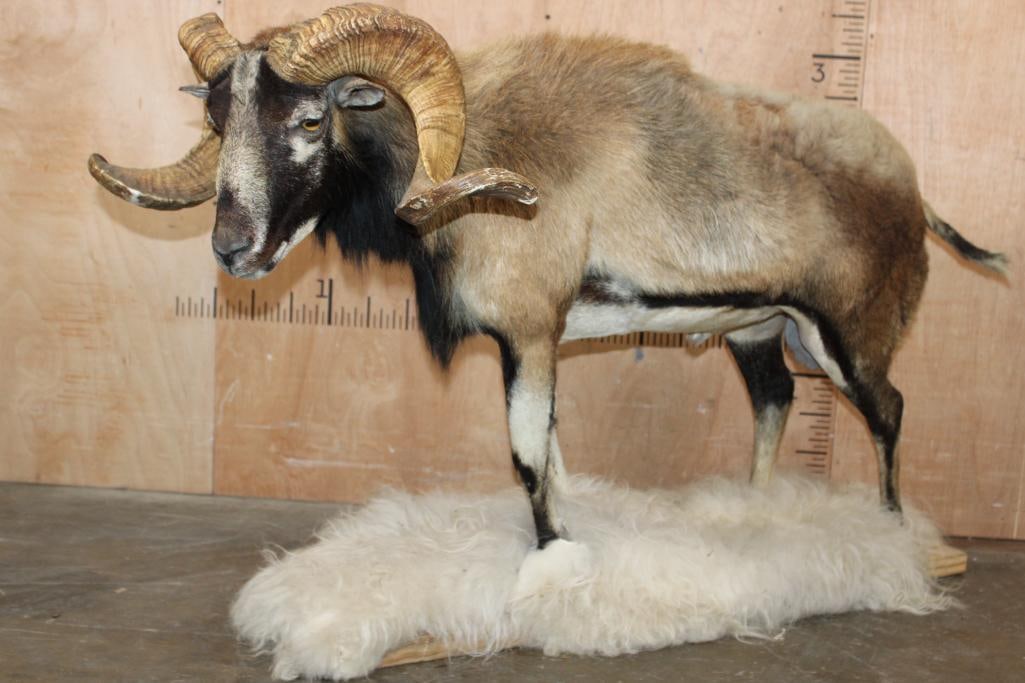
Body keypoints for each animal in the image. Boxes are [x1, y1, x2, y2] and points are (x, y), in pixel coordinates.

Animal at [89, 4, 1006, 556]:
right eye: (218, 118)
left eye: (313, 118)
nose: (233, 248)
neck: (478, 169)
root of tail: (913, 194)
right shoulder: (541, 342)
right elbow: (556, 452)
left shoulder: (528, 333)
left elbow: (529, 454)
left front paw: (550, 558)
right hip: (759, 332)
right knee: (776, 399)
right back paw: (755, 514)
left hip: (849, 337)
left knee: (888, 411)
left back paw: (892, 537)